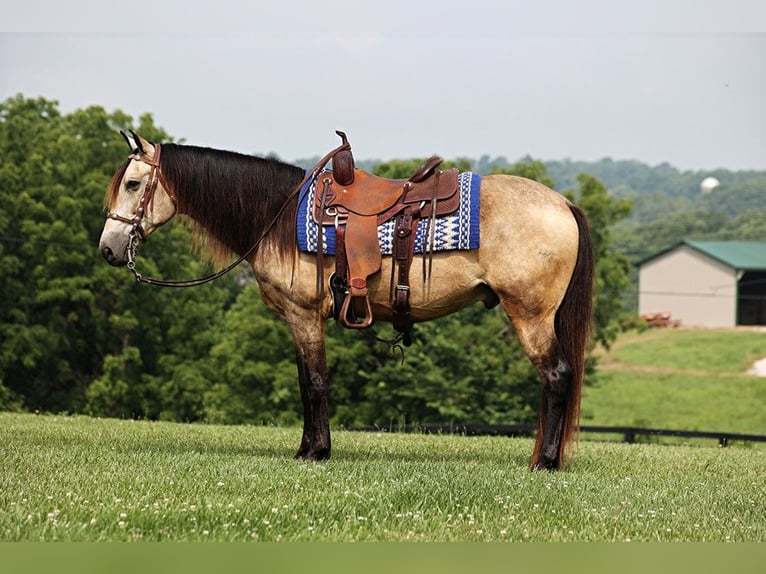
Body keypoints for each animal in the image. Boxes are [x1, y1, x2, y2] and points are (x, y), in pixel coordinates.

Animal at [99, 132, 596, 472]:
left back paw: (545, 462)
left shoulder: (303, 315)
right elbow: (306, 382)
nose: (107, 248)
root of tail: (563, 204)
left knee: (556, 377)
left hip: (531, 315)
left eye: (133, 184)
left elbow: (316, 383)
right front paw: (307, 447)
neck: (278, 217)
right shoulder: (298, 320)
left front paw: (317, 452)